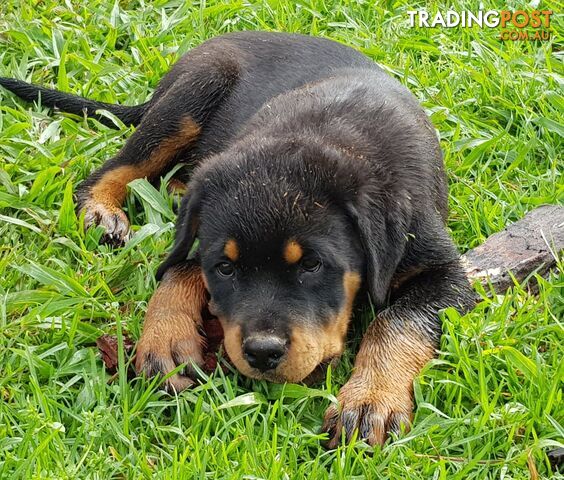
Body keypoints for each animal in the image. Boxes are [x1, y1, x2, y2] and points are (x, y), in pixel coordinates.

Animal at [1, 32, 476, 446]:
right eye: (226, 268)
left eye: (312, 265)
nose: (262, 353)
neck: (328, 135)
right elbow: (181, 264)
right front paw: (167, 336)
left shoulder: (446, 273)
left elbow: (395, 321)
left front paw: (370, 401)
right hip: (193, 94)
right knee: (116, 168)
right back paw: (102, 210)